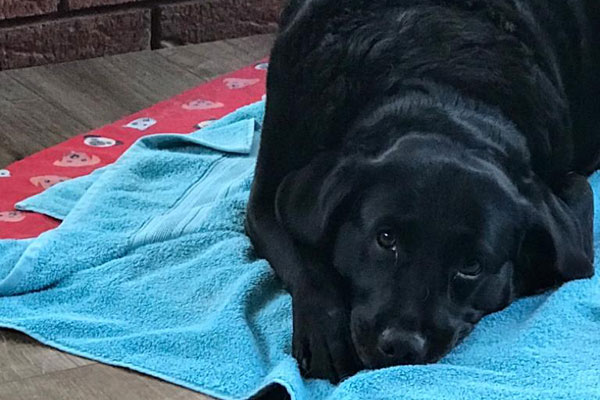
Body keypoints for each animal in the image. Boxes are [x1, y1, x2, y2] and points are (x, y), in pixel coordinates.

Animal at [245, 0, 600, 382]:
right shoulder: (267, 198)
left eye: (472, 265)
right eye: (385, 238)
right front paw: (327, 332)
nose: (401, 346)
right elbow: (303, 260)